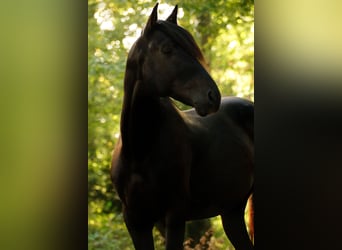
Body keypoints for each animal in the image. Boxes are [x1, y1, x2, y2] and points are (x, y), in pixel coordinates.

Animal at [111, 3, 252, 250]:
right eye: (166, 49)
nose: (212, 96)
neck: (140, 150)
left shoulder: (175, 217)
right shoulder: (136, 222)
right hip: (232, 212)